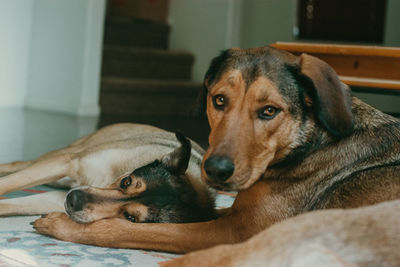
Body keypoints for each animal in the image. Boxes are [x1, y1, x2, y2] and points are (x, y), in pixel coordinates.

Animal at [0, 124, 216, 225]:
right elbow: (8, 183)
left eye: (130, 218)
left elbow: (11, 204)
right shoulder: (70, 162)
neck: (105, 182)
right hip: (62, 157)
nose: (73, 199)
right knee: (16, 166)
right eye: (126, 181)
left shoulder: (57, 198)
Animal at [32, 46, 400, 266]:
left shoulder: (233, 232)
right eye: (219, 100)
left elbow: (130, 230)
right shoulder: (231, 216)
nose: (215, 170)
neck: (306, 145)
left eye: (269, 111)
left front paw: (59, 222)